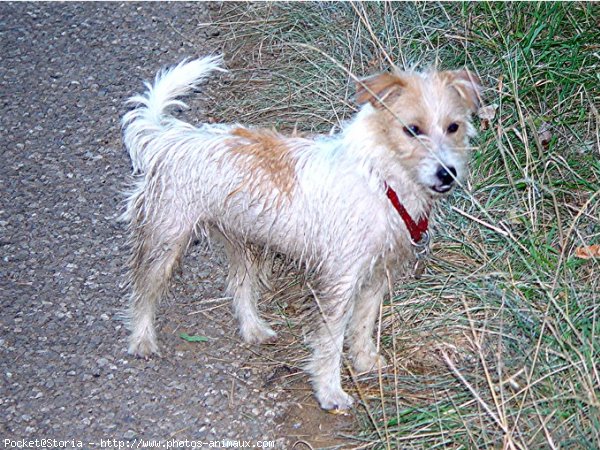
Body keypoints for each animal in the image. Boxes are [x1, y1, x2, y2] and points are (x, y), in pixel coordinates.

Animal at [122, 54, 482, 410]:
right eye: (412, 129)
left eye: (453, 126)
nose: (447, 173)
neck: (381, 179)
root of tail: (169, 137)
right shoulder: (341, 281)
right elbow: (331, 340)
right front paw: (330, 391)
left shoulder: (378, 273)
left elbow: (364, 323)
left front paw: (365, 361)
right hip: (166, 240)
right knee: (143, 290)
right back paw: (141, 339)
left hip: (245, 241)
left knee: (240, 287)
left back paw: (253, 329)